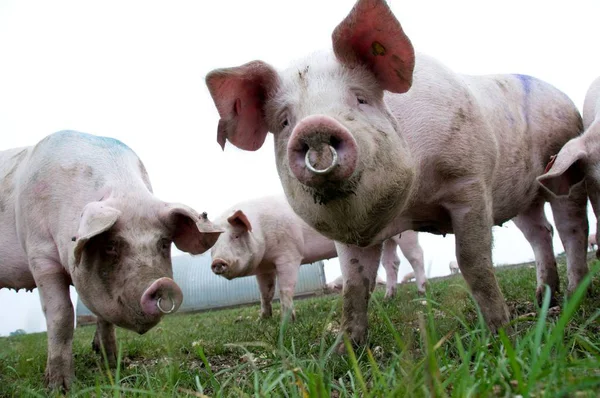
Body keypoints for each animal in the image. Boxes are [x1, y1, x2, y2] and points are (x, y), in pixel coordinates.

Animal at [0, 131, 223, 388]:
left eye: (164, 242)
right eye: (110, 245)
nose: (161, 284)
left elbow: (104, 320)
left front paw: (113, 364)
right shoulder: (40, 254)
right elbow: (61, 315)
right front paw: (61, 386)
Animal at [211, 194, 426, 318]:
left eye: (236, 235)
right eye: (213, 244)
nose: (217, 262)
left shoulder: (289, 254)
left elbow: (285, 288)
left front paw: (288, 320)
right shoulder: (264, 268)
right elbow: (265, 292)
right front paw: (263, 319)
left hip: (407, 230)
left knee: (416, 255)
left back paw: (421, 292)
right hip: (388, 238)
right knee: (392, 263)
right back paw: (388, 298)